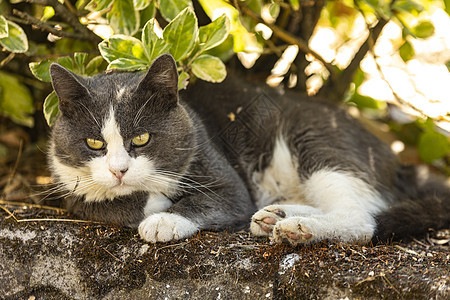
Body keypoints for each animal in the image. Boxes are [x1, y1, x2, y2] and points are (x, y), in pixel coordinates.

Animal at [47, 52, 448, 245]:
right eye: (94, 142)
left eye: (142, 139)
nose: (119, 170)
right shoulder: (65, 180)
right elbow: (86, 201)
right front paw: (147, 200)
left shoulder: (222, 173)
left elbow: (219, 199)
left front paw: (163, 217)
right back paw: (275, 216)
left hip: (317, 139)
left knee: (361, 217)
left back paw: (298, 228)